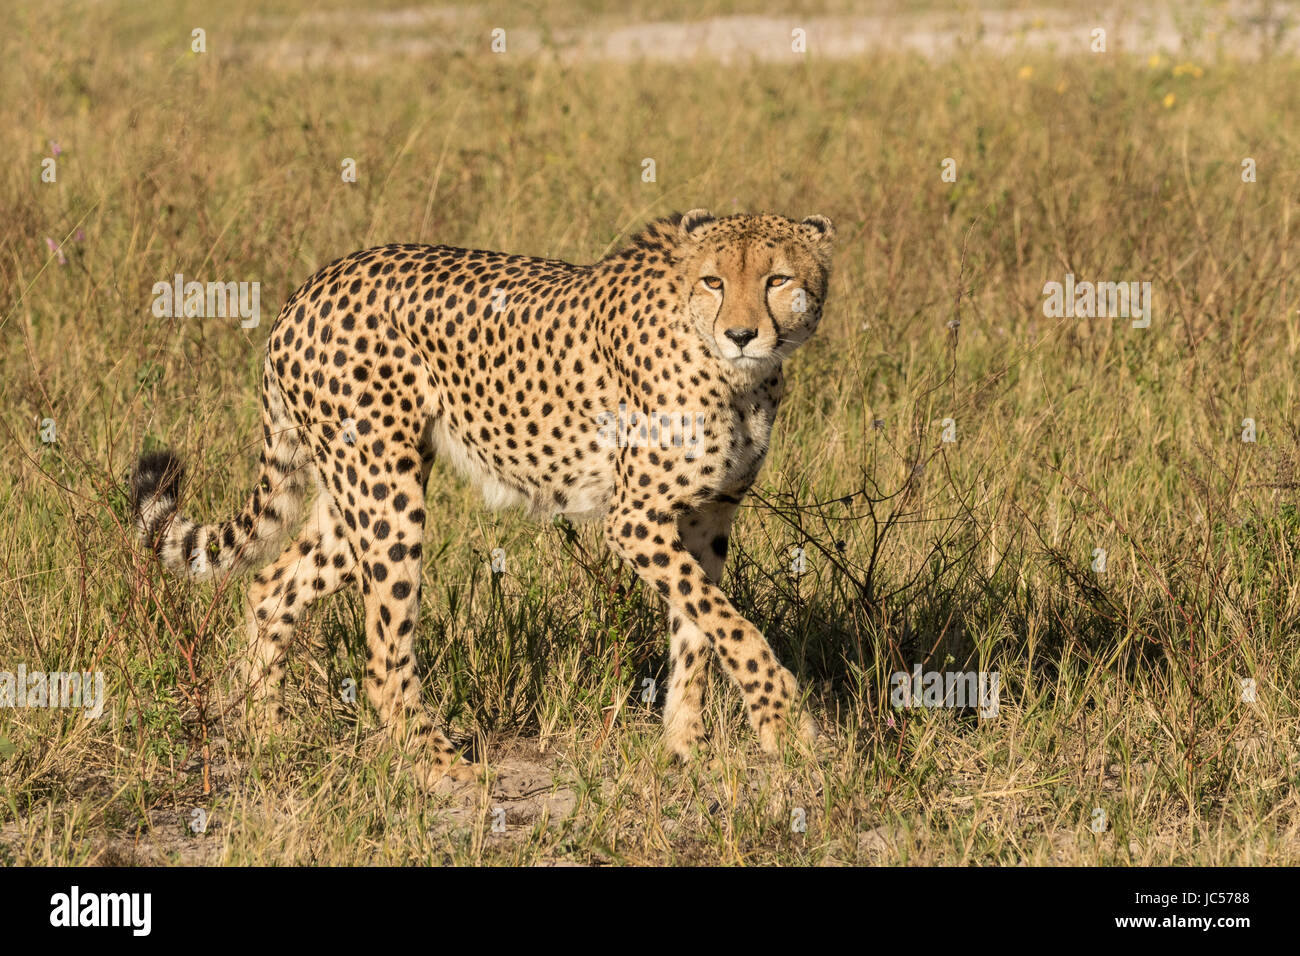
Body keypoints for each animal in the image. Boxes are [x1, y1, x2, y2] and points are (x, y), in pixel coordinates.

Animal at [131, 208, 835, 785]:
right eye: (714, 281)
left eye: (777, 279)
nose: (741, 334)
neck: (736, 375)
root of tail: (310, 286)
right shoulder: (635, 520)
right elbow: (730, 624)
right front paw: (784, 722)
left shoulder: (706, 517)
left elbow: (699, 630)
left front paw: (684, 750)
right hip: (386, 495)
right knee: (382, 653)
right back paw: (440, 763)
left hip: (354, 495)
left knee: (270, 586)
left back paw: (268, 734)